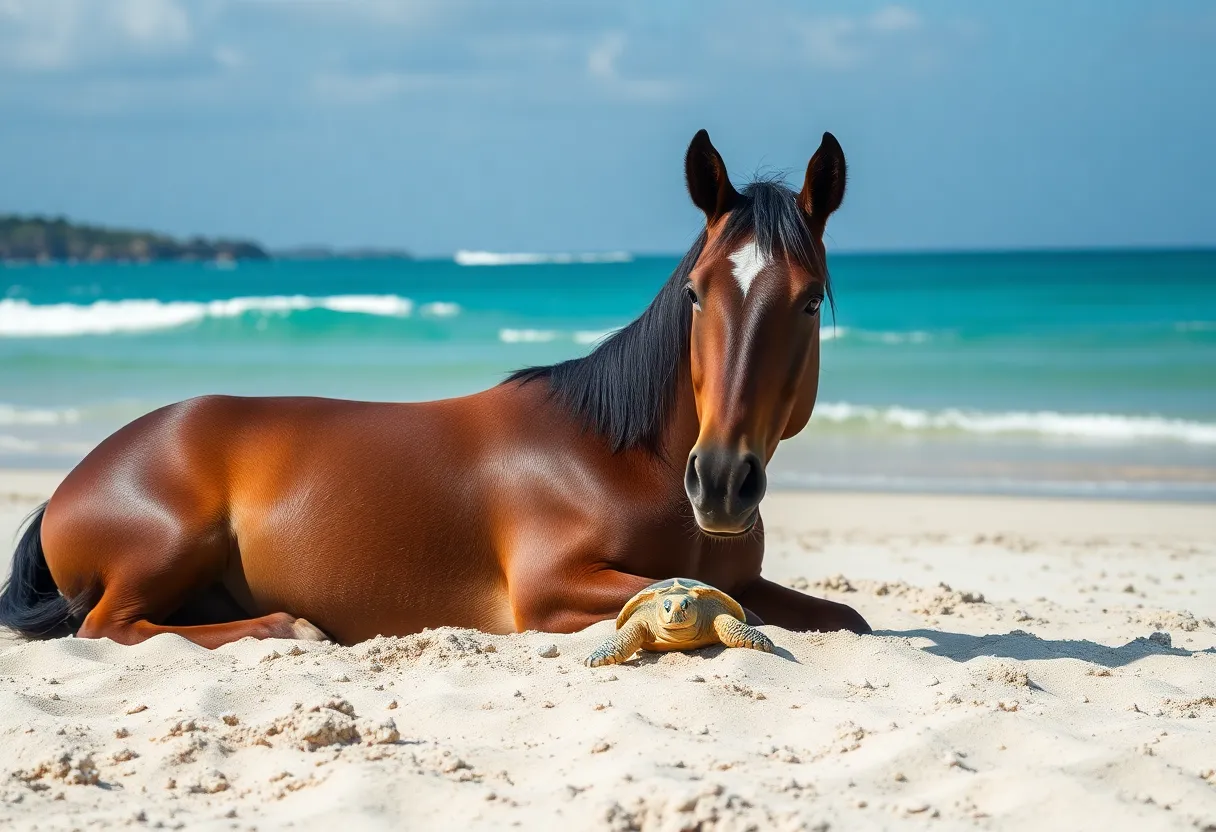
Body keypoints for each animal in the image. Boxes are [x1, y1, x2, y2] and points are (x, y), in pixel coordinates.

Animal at [0, 129, 870, 648]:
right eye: (694, 293)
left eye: (809, 301)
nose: (720, 482)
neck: (625, 457)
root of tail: (76, 477)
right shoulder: (549, 591)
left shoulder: (742, 579)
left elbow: (837, 616)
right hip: (169, 548)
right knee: (110, 626)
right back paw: (292, 626)